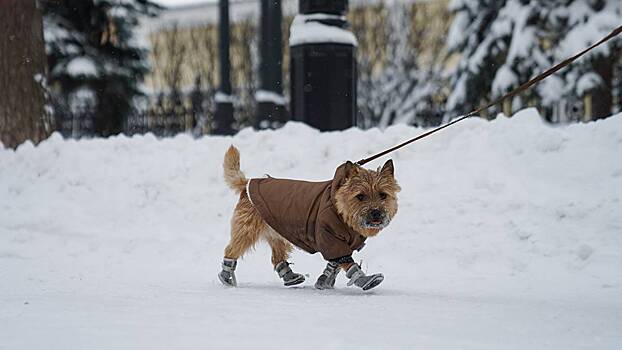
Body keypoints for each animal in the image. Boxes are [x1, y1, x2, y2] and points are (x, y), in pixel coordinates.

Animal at [219, 145, 402, 290]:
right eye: (360, 196)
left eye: (383, 195)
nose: (376, 212)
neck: (340, 209)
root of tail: (247, 183)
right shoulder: (329, 237)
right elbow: (345, 261)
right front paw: (363, 279)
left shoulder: (348, 242)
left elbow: (334, 263)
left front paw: (324, 281)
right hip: (247, 229)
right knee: (232, 249)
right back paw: (226, 275)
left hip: (277, 231)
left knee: (277, 257)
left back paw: (290, 277)